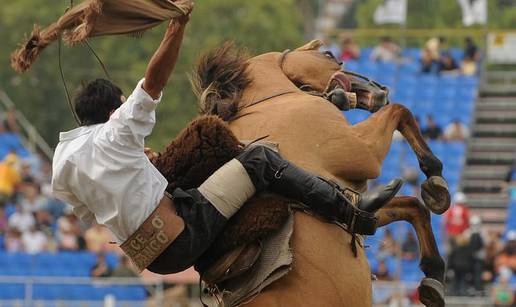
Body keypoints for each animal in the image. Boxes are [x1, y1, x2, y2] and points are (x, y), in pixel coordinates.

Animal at [191, 41, 450, 307]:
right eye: (329, 55)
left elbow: (412, 206)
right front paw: (435, 177)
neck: (270, 103)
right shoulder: (364, 152)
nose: (379, 90)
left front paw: (433, 276)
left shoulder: (353, 199)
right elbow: (400, 111)